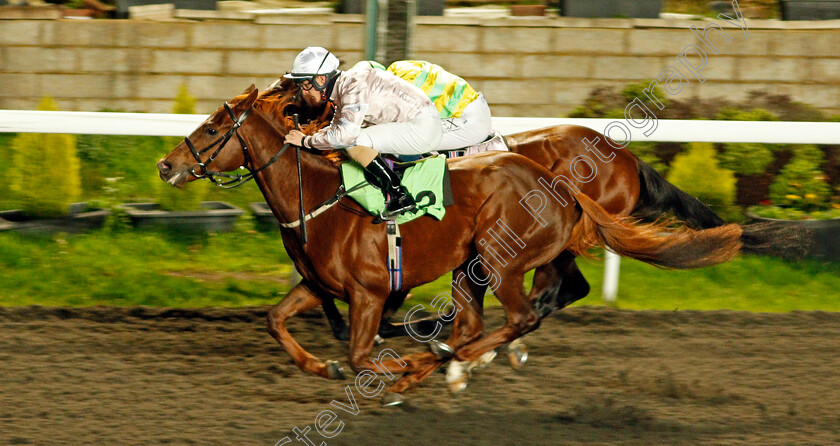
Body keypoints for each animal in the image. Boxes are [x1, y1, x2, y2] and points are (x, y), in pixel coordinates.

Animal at [159, 85, 748, 396]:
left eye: (212, 128)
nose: (166, 165)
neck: (321, 197)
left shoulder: (371, 293)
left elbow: (360, 352)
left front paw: (397, 363)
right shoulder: (318, 284)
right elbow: (277, 321)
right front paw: (324, 365)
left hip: (502, 259)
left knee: (524, 312)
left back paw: (449, 361)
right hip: (476, 265)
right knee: (486, 320)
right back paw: (450, 358)